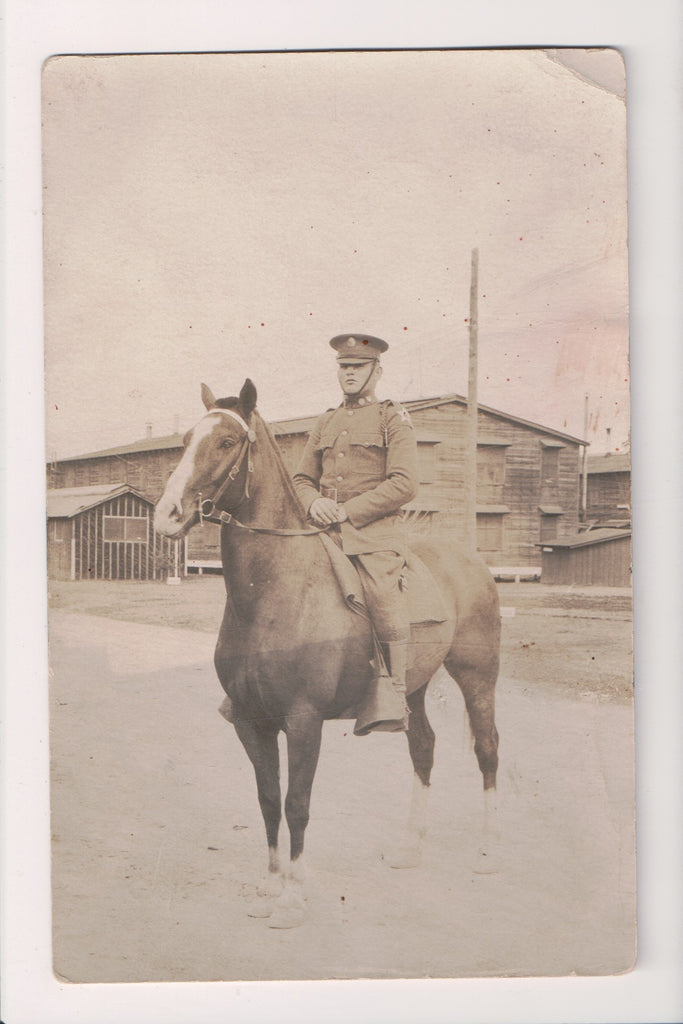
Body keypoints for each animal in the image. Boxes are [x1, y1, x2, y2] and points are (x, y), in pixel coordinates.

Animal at [154, 382, 501, 929]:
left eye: (228, 441)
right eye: (187, 439)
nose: (165, 514)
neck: (275, 591)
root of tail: (471, 561)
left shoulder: (303, 719)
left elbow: (297, 803)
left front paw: (294, 896)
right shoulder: (251, 721)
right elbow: (268, 800)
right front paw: (270, 884)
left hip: (478, 678)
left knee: (487, 750)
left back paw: (488, 853)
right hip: (414, 689)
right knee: (423, 748)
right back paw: (411, 848)